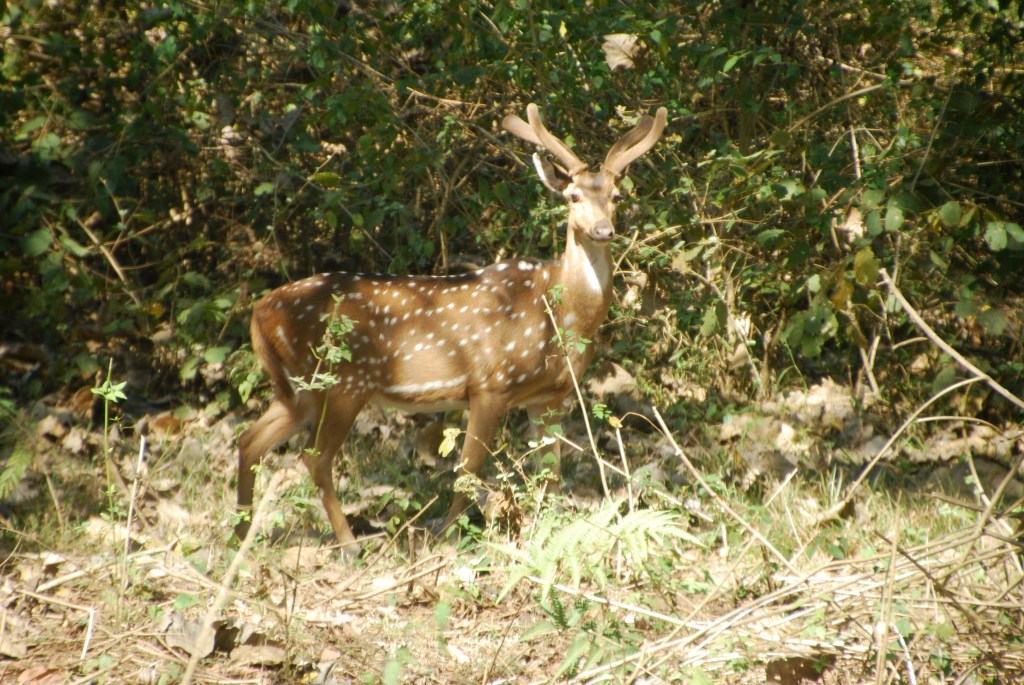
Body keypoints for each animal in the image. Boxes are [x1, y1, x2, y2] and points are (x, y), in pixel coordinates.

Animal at [235, 103, 668, 554]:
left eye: (616, 197)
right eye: (573, 196)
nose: (603, 230)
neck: (558, 314)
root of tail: (260, 310)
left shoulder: (548, 396)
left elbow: (550, 472)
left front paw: (546, 531)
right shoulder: (491, 383)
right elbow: (469, 467)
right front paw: (450, 535)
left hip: (304, 387)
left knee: (250, 439)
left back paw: (241, 534)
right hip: (343, 381)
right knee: (314, 457)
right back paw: (349, 542)